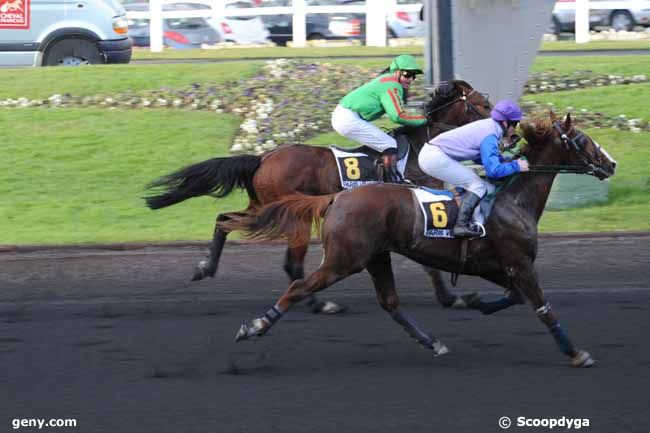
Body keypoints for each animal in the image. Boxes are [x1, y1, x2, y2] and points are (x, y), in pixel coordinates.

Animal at [144, 79, 488, 310]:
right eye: (481, 104)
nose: (498, 122)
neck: (419, 148)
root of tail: (263, 158)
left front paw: (451, 296)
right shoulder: (414, 206)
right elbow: (429, 261)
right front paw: (451, 298)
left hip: (263, 207)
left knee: (224, 219)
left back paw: (205, 267)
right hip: (292, 215)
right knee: (291, 266)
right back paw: (318, 304)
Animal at [225, 113, 616, 366]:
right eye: (582, 139)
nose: (611, 164)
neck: (514, 200)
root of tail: (337, 197)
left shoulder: (494, 265)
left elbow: (513, 296)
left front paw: (477, 302)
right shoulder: (519, 263)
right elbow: (542, 308)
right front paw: (576, 352)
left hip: (376, 257)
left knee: (390, 302)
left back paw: (432, 342)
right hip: (343, 260)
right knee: (298, 286)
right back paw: (256, 325)